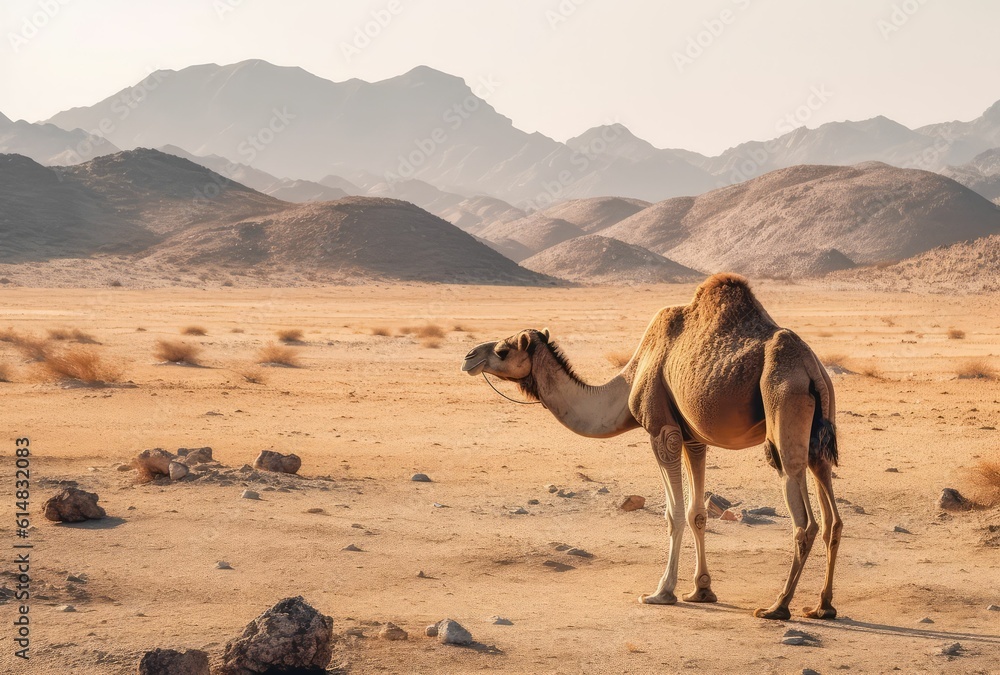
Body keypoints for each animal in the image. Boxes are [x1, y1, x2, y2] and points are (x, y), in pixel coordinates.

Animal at [461, 273, 841, 620]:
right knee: (831, 516)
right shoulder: (693, 439)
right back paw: (822, 607)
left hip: (783, 406)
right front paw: (701, 590)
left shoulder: (662, 432)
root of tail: (812, 369)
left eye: (502, 350)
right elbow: (697, 512)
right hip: (819, 433)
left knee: (802, 514)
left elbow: (673, 513)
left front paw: (661, 592)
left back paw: (778, 607)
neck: (626, 384)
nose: (468, 357)